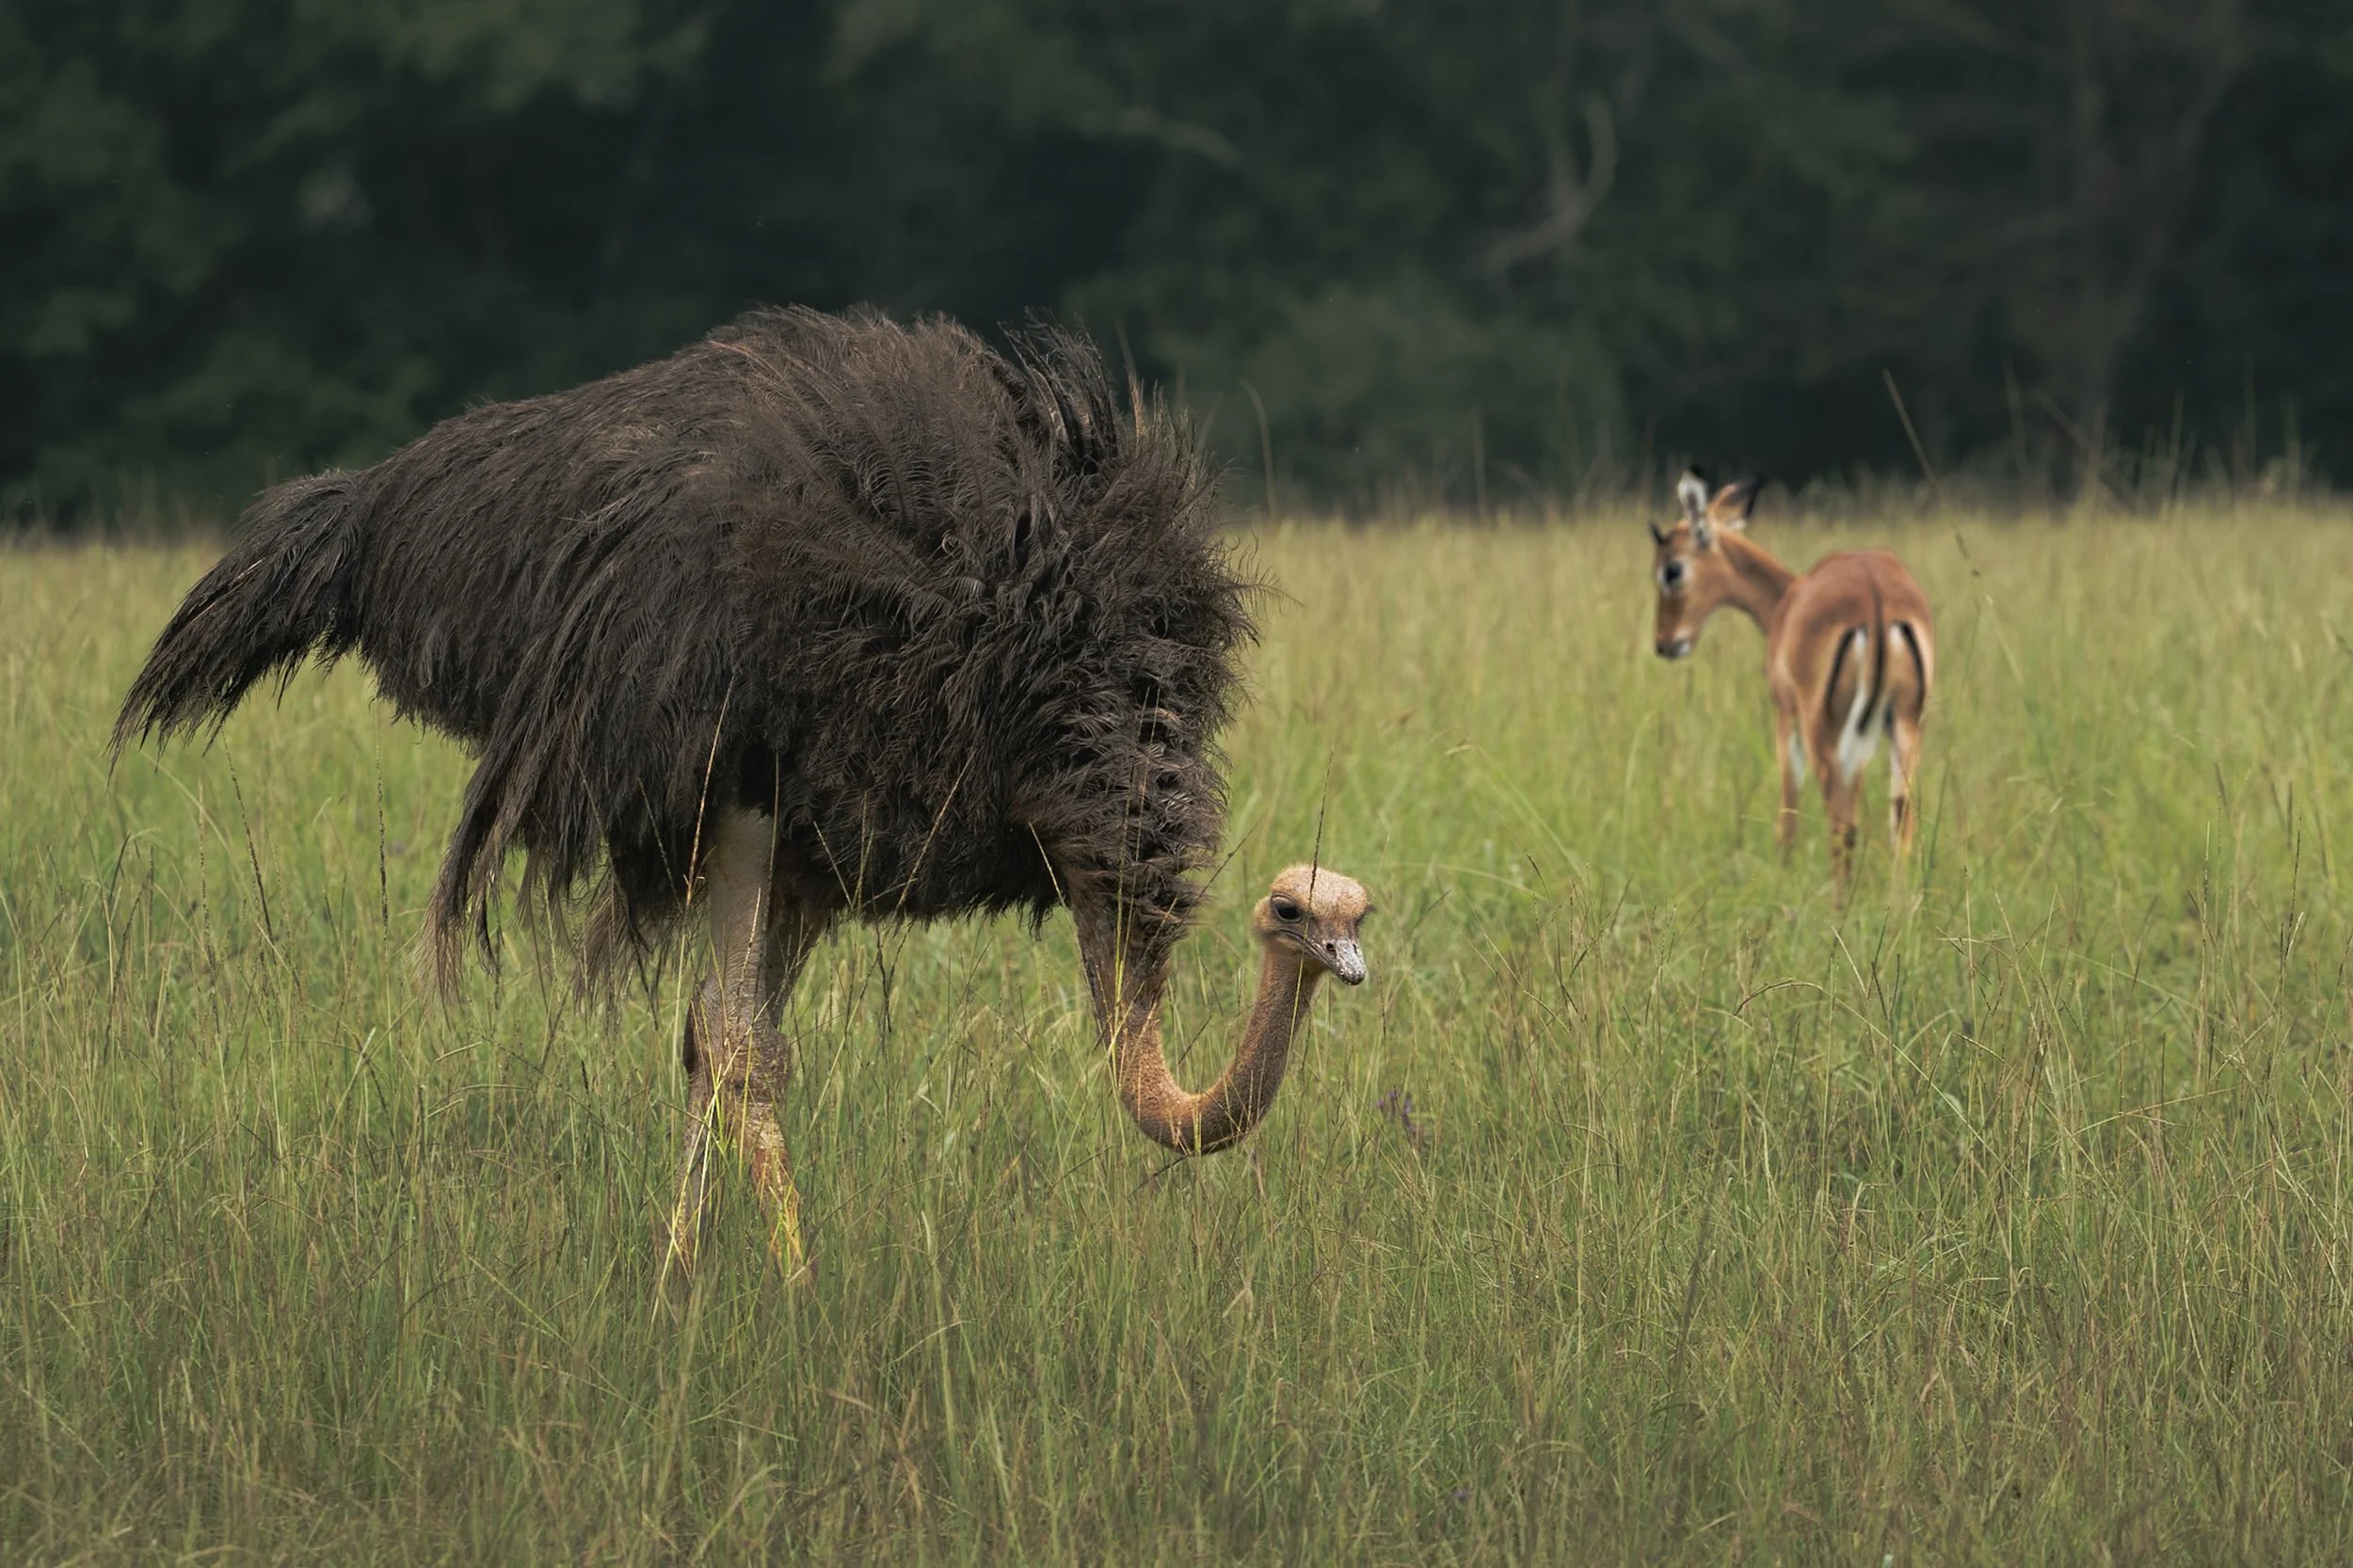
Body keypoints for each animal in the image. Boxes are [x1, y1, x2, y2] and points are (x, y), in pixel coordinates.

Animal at [1648, 470, 1935, 884]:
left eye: (1672, 569)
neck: (1787, 599)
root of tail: (1877, 597)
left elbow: (1787, 815)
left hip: (1824, 729)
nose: (1664, 642)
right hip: (1905, 725)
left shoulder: (1786, 715)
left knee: (1843, 823)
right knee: (1901, 826)